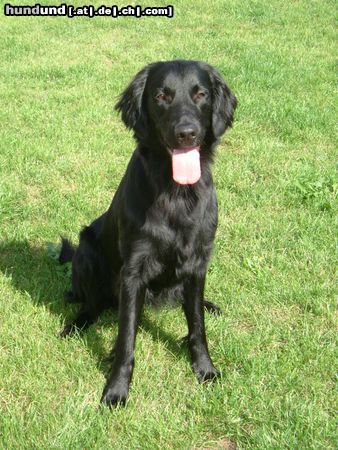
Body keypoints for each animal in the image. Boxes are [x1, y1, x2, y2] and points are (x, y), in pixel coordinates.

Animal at [58, 58, 238, 406]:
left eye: (201, 94)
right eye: (161, 96)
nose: (187, 133)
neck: (176, 193)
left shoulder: (198, 262)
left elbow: (197, 327)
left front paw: (205, 369)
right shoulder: (133, 270)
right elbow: (127, 337)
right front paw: (116, 389)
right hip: (87, 249)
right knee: (92, 303)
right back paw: (77, 325)